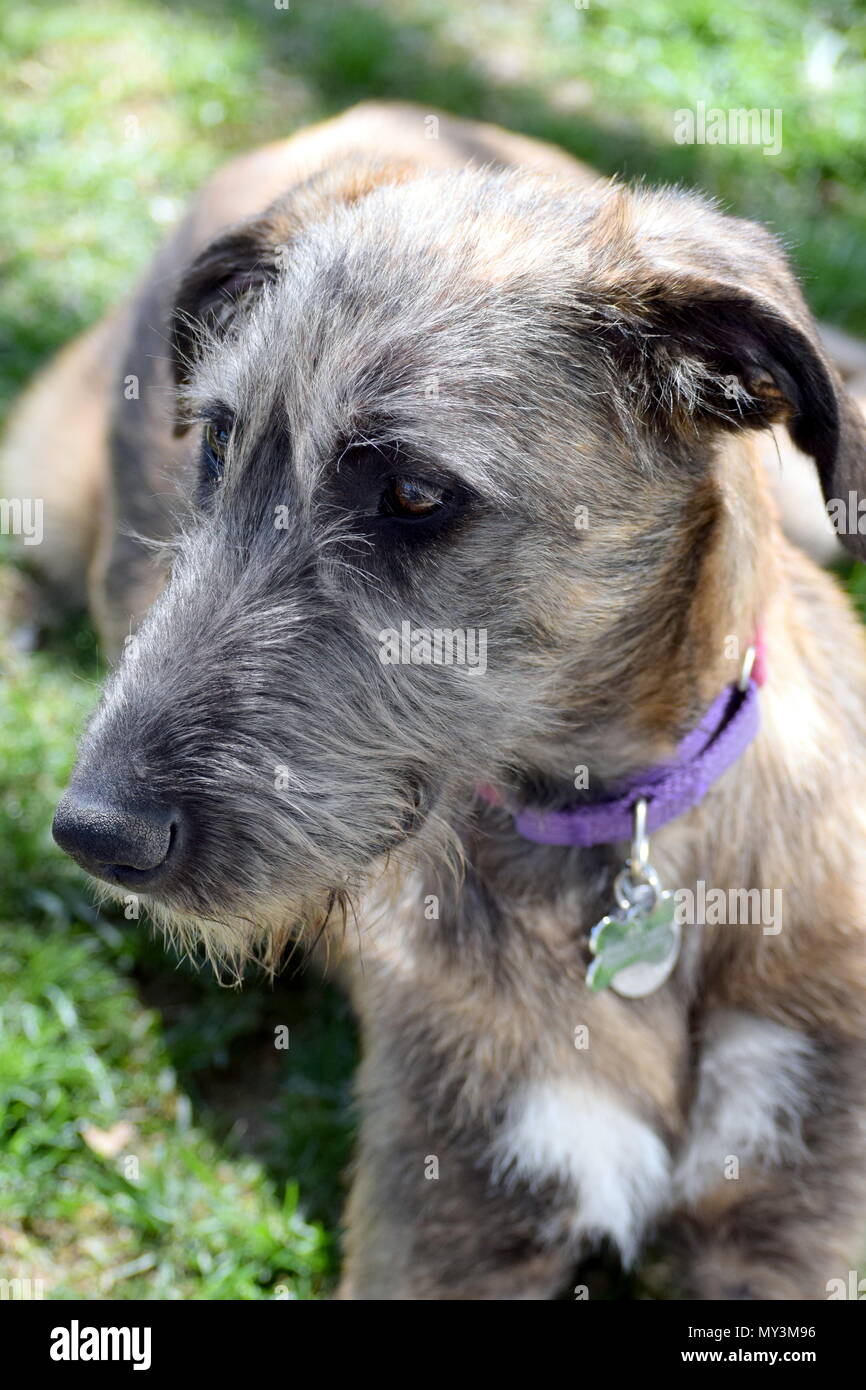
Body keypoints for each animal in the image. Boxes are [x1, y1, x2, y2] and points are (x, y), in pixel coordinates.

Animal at [1, 102, 866, 1295]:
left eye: (413, 492)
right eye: (216, 439)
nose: (94, 833)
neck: (616, 837)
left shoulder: (801, 1198)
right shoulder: (448, 1209)